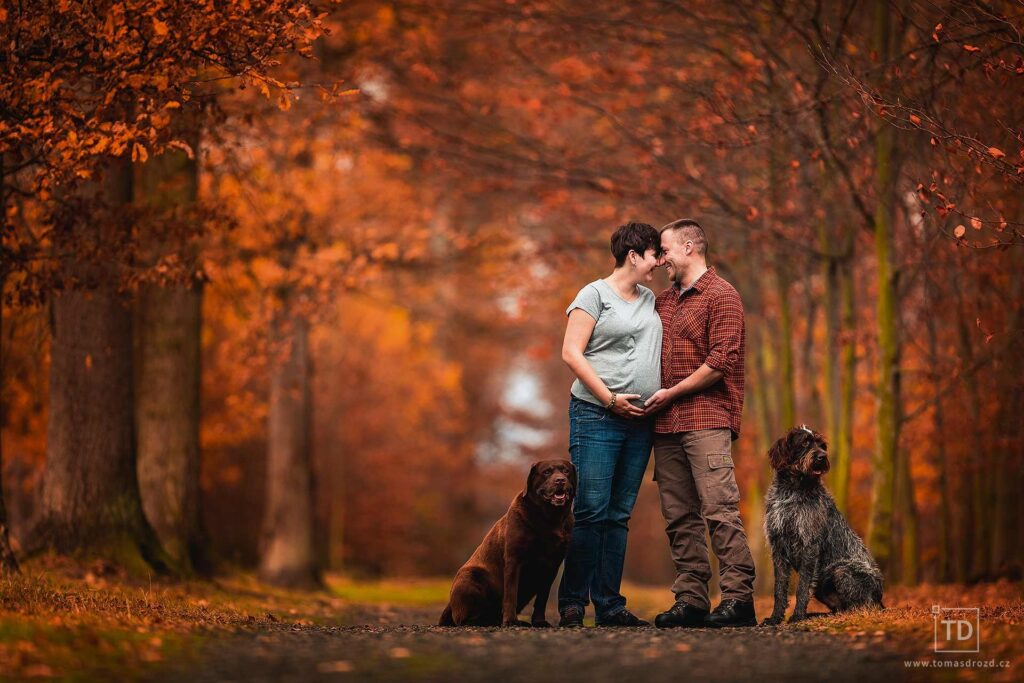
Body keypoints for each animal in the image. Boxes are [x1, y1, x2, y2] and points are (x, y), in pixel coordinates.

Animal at [436, 462, 573, 626]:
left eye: (566, 471)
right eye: (546, 472)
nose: (560, 480)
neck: (550, 518)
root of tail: (450, 604)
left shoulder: (552, 566)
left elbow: (542, 598)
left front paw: (539, 622)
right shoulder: (514, 560)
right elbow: (511, 595)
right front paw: (511, 621)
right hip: (469, 577)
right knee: (464, 619)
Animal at [765, 428, 884, 626]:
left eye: (822, 445)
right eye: (805, 442)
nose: (822, 457)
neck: (793, 489)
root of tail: (881, 600)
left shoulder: (809, 545)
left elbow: (803, 587)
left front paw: (797, 616)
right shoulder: (778, 546)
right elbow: (779, 589)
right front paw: (775, 617)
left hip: (841, 571)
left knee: (860, 607)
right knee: (840, 608)